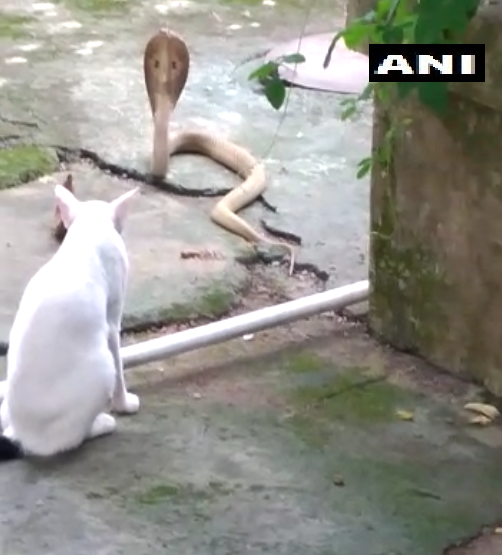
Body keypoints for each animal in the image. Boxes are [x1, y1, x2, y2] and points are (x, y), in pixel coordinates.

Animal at [0, 182, 140, 460]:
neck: (87, 232)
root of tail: (19, 433)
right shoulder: (112, 322)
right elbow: (120, 367)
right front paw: (124, 404)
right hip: (102, 366)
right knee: (68, 440)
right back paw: (102, 423)